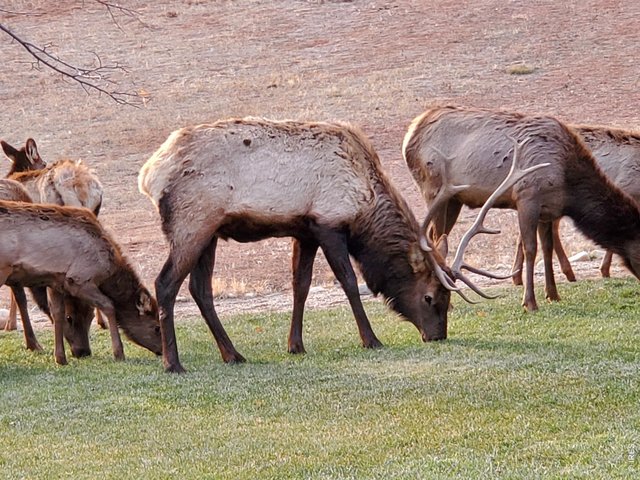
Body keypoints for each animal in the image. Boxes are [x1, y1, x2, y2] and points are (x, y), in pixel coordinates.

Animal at [0, 200, 163, 365]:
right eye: (156, 327)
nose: (162, 351)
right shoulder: (79, 279)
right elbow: (109, 306)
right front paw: (119, 353)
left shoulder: (55, 281)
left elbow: (57, 313)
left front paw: (60, 358)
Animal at [138, 117, 545, 373]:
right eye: (432, 297)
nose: (437, 336)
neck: (365, 200)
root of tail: (149, 174)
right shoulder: (329, 223)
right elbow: (350, 282)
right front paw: (371, 339)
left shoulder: (304, 230)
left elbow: (300, 286)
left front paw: (295, 345)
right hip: (192, 222)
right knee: (165, 283)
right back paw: (173, 363)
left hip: (209, 232)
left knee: (199, 289)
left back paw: (233, 354)